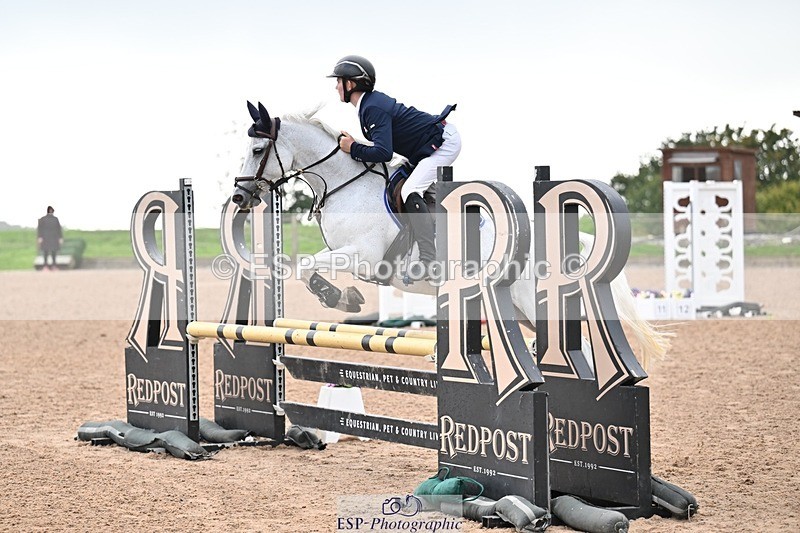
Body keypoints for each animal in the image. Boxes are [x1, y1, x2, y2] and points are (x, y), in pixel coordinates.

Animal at [231, 102, 670, 368]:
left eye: (257, 150)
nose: (239, 196)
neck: (345, 184)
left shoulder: (364, 255)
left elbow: (307, 266)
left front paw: (341, 297)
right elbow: (305, 266)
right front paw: (344, 296)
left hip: (533, 303)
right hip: (522, 310)